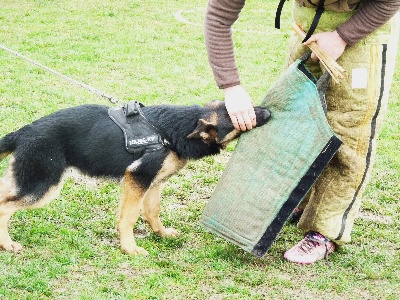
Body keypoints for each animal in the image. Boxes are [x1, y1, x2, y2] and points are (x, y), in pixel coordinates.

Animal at [0, 101, 270, 255]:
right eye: (242, 118)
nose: (269, 111)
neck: (174, 130)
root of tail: (23, 132)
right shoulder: (137, 178)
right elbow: (129, 217)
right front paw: (129, 248)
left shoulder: (154, 181)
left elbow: (152, 211)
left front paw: (161, 233)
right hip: (43, 186)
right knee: (4, 208)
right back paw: (7, 244)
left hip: (25, 180)